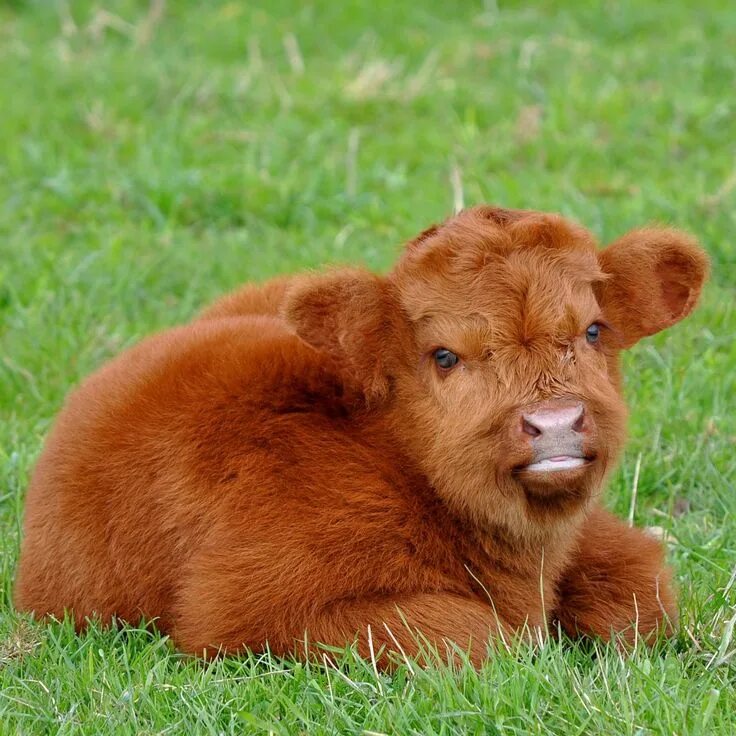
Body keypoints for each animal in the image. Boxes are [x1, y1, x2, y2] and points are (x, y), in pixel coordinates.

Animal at [14, 206, 708, 667]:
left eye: (593, 331)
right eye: (444, 355)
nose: (556, 422)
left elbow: (642, 593)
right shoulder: (248, 611)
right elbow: (477, 635)